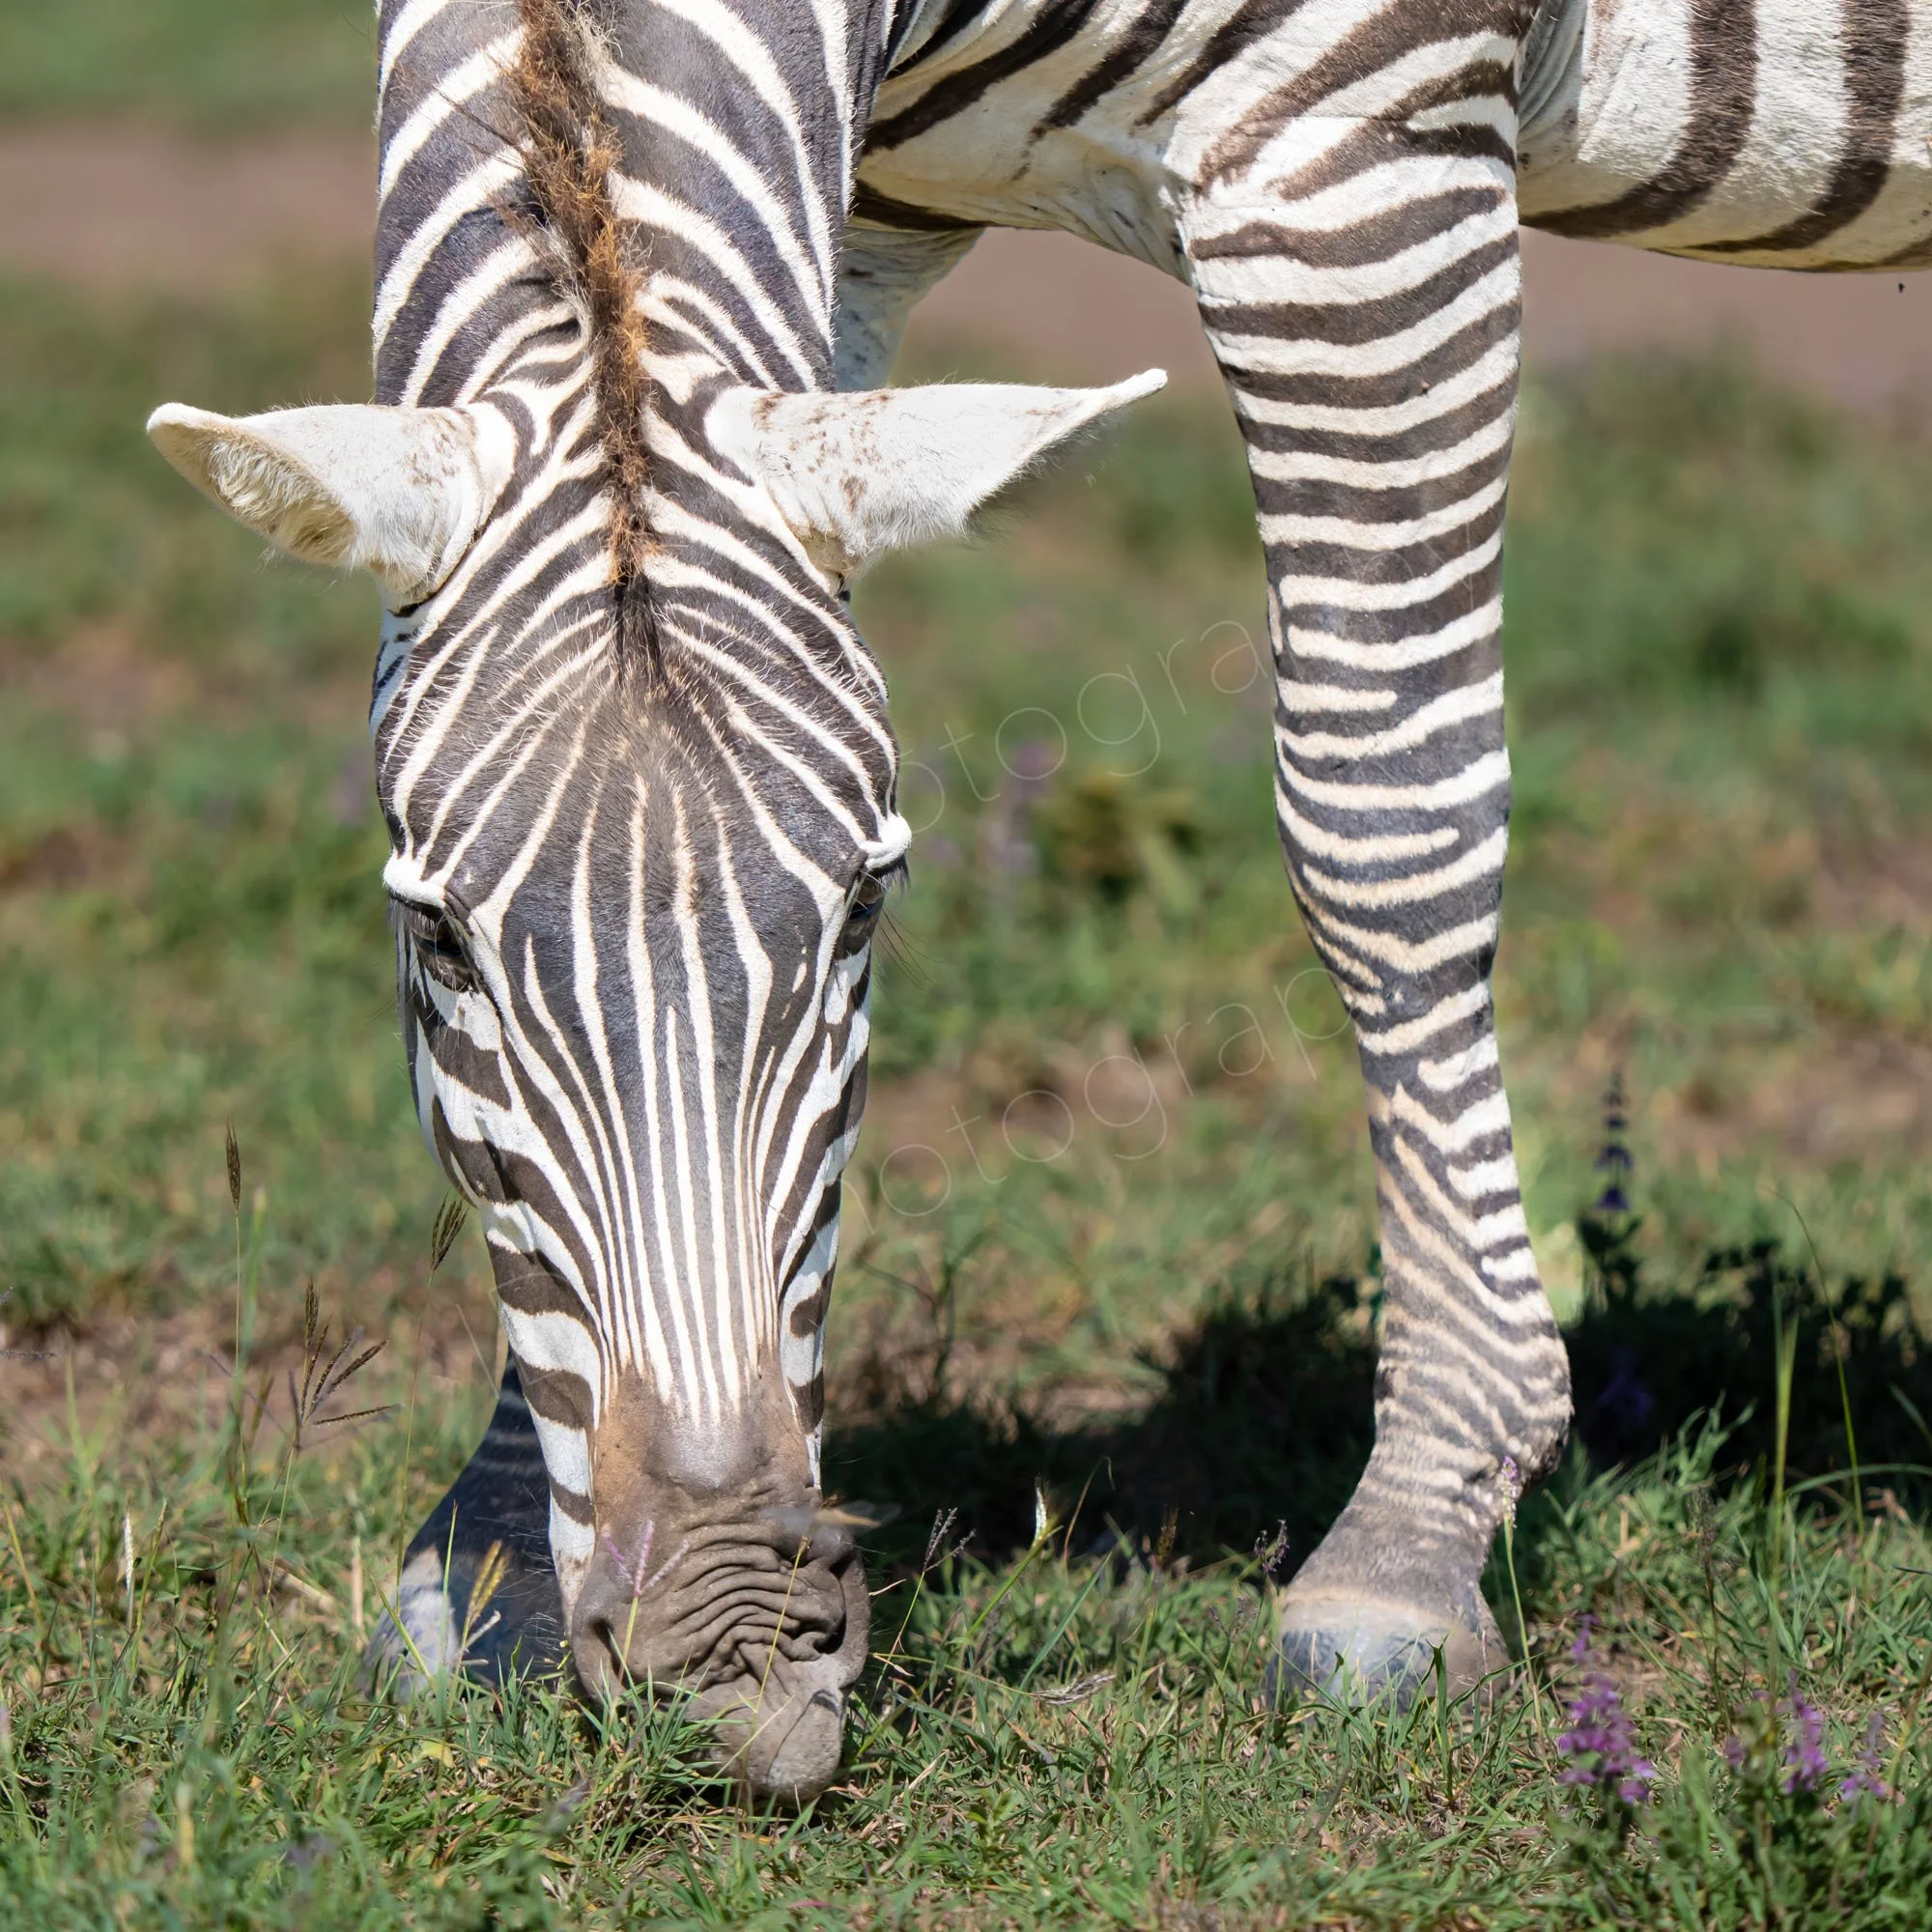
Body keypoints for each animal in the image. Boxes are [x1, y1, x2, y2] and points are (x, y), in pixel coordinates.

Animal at [145, 0, 1932, 1801]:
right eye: (435, 940)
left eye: (868, 906)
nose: (734, 1661)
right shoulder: (850, 220)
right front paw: (499, 1565)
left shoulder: (1370, 156)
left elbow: (1381, 820)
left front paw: (1409, 1553)